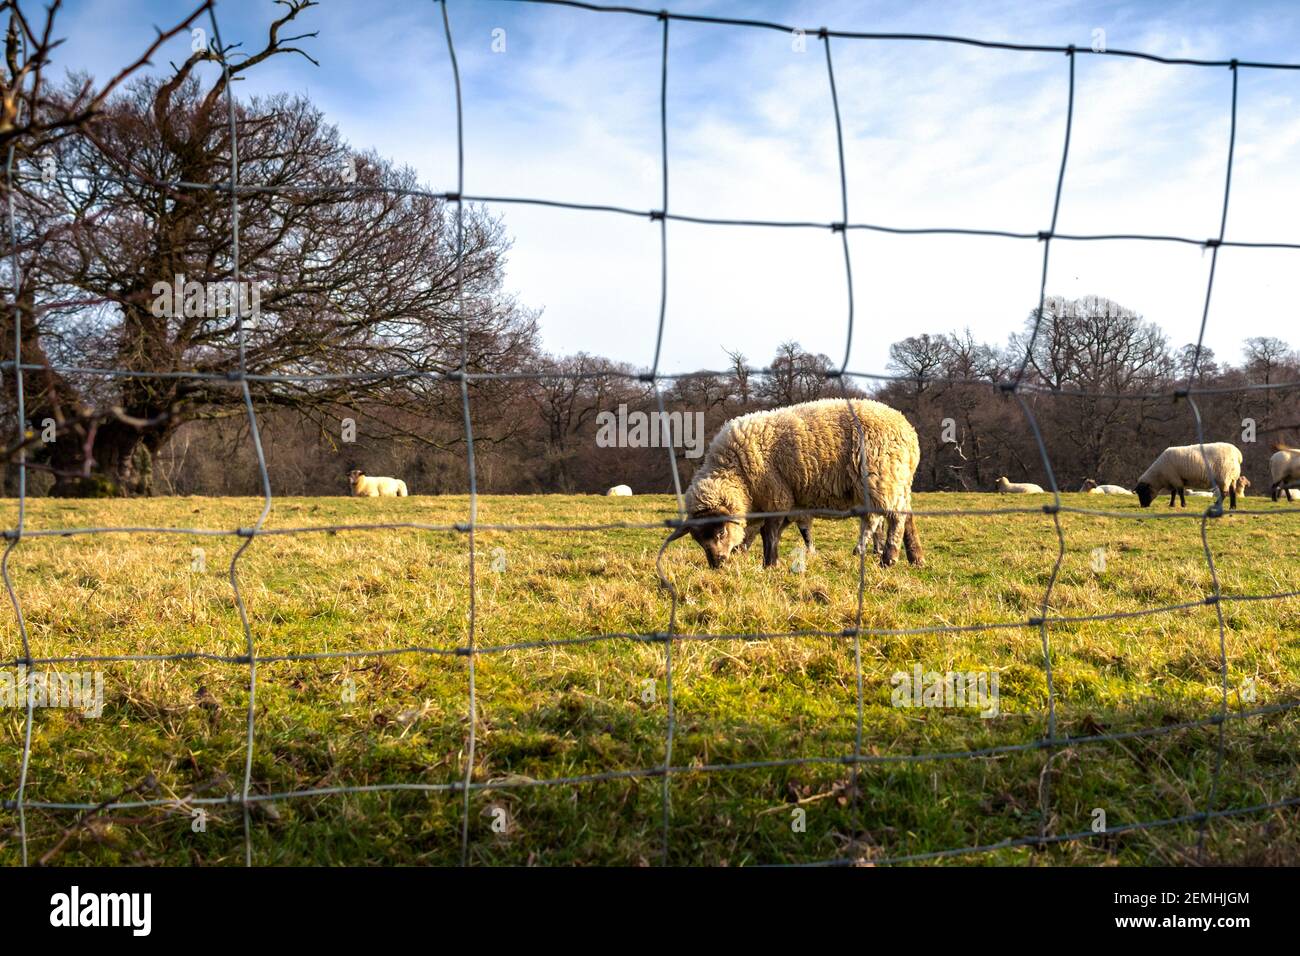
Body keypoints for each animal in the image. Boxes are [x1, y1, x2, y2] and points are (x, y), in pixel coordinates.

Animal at [667, 398, 922, 569]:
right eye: (698, 540)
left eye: (719, 532)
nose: (717, 564)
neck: (735, 472)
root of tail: (908, 431)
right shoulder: (780, 502)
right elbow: (761, 531)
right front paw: (745, 552)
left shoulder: (775, 494)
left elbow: (769, 532)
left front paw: (769, 563)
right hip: (898, 481)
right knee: (907, 515)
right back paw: (916, 558)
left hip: (882, 478)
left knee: (896, 518)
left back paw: (888, 558)